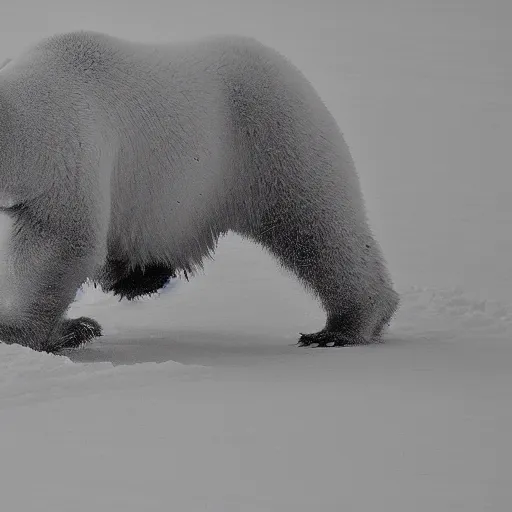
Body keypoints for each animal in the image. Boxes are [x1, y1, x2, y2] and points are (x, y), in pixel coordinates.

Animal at [0, 31, 400, 352]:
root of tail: (283, 63)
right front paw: (75, 327)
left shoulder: (61, 145)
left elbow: (60, 238)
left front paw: (22, 331)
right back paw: (139, 276)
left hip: (270, 140)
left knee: (318, 227)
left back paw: (341, 327)